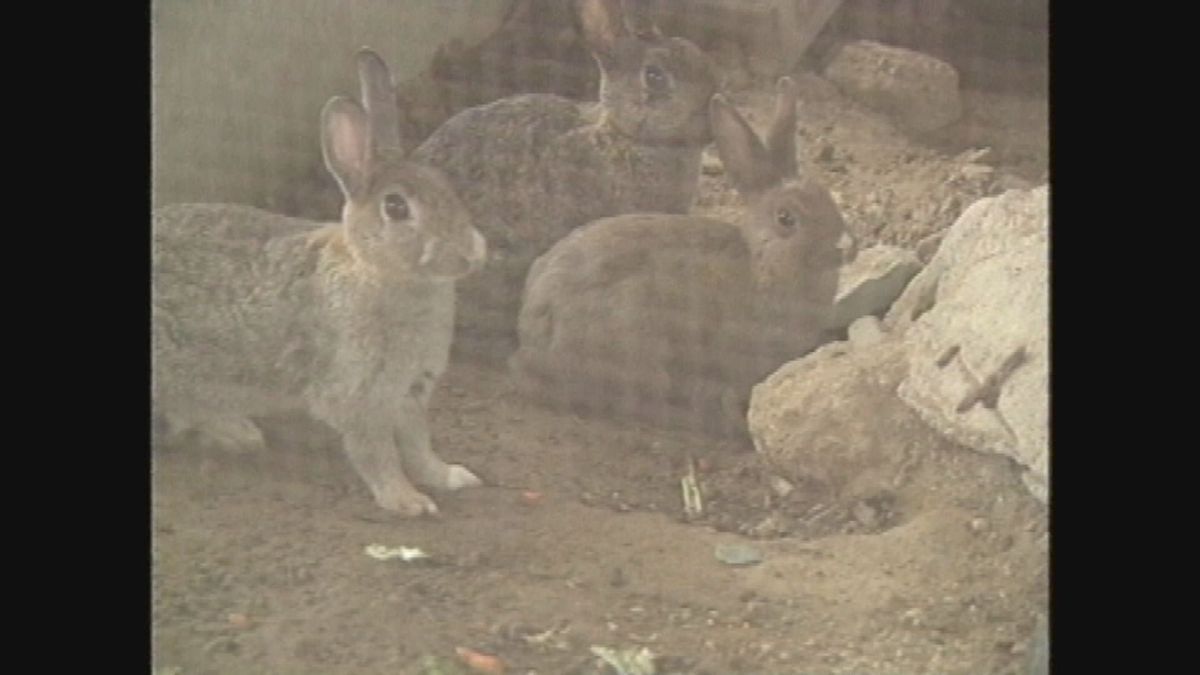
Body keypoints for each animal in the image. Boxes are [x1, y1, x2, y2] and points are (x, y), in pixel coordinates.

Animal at [151, 49, 487, 514]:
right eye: (396, 208)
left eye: (447, 189)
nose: (471, 255)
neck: (375, 270)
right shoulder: (359, 394)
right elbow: (376, 452)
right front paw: (406, 501)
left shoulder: (410, 392)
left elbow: (419, 445)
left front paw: (450, 477)